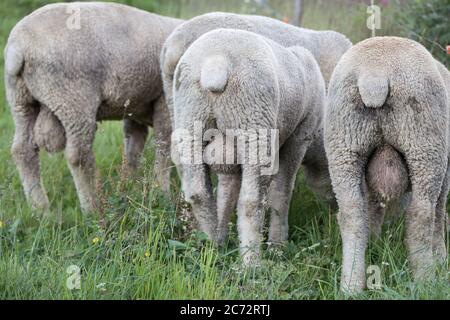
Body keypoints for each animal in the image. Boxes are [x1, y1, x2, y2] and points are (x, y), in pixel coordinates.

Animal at [3, 3, 183, 212]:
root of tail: (18, 47)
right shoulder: (163, 101)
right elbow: (164, 147)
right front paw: (164, 195)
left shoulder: (135, 106)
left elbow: (133, 149)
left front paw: (129, 186)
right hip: (74, 99)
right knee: (78, 156)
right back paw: (92, 209)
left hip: (20, 99)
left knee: (23, 150)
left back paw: (40, 209)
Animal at [172, 28, 326, 264]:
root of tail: (216, 60)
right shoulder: (300, 136)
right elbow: (281, 192)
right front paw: (278, 245)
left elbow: (226, 193)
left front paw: (222, 235)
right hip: (254, 123)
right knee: (251, 201)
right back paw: (251, 261)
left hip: (190, 119)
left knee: (199, 192)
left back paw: (211, 247)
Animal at [326, 36, 448, 294]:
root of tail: (375, 73)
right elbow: (440, 213)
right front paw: (442, 259)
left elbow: (373, 207)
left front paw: (374, 242)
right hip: (424, 143)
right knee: (421, 215)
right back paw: (426, 280)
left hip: (344, 143)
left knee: (352, 214)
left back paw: (351, 285)